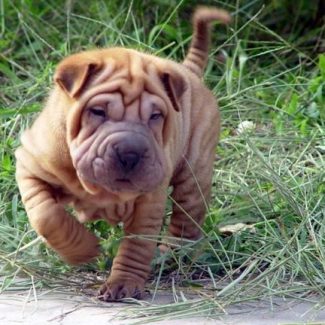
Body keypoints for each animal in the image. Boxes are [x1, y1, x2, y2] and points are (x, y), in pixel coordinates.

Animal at [14, 7, 228, 300]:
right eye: (97, 111)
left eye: (156, 116)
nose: (130, 152)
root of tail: (187, 71)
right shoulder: (30, 165)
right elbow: (46, 215)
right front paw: (85, 250)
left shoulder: (148, 202)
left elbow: (137, 245)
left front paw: (123, 284)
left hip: (194, 173)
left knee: (186, 219)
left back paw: (169, 256)